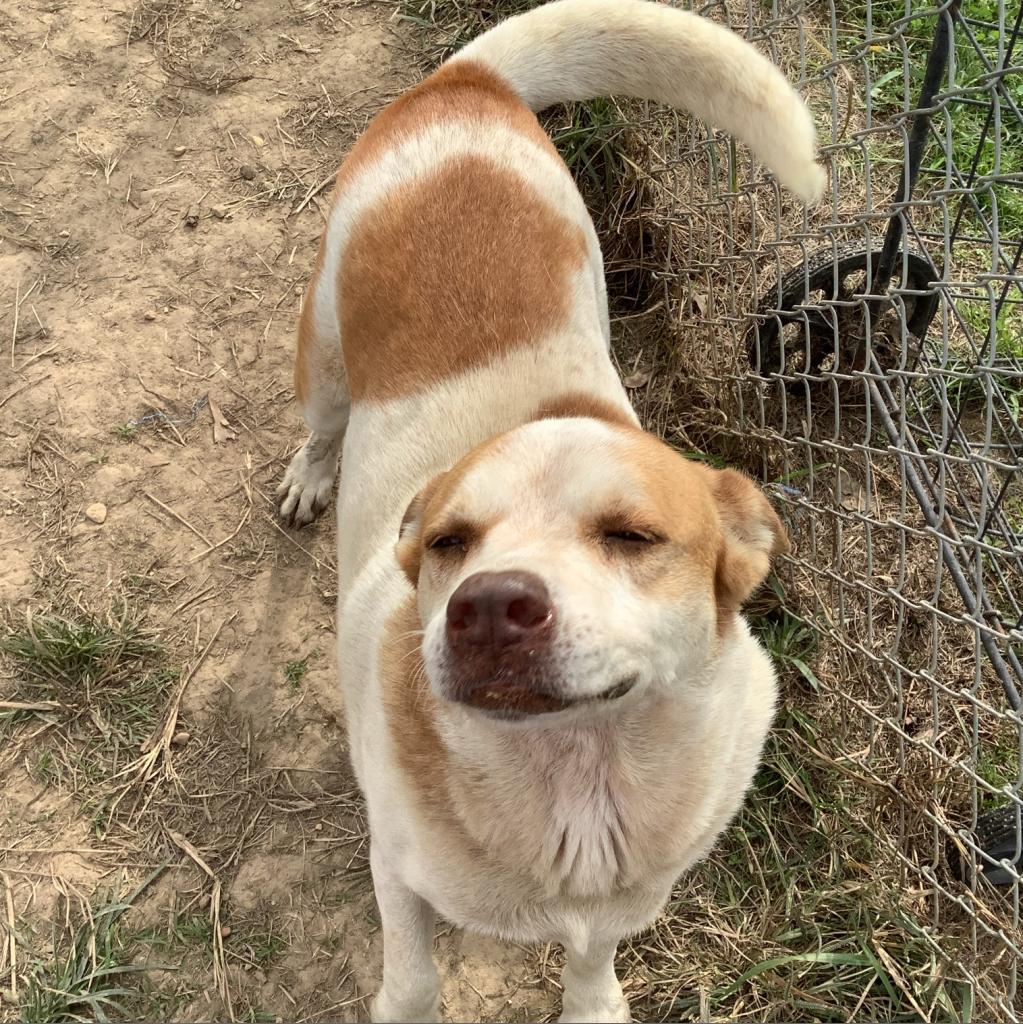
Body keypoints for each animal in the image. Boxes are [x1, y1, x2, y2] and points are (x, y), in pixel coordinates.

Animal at [278, 4, 823, 1019]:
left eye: (632, 536)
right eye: (447, 543)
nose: (488, 609)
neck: (575, 775)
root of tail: (466, 84)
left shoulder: (624, 896)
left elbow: (591, 958)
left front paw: (593, 1000)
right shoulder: (395, 873)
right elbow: (412, 980)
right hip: (325, 357)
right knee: (323, 425)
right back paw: (308, 477)